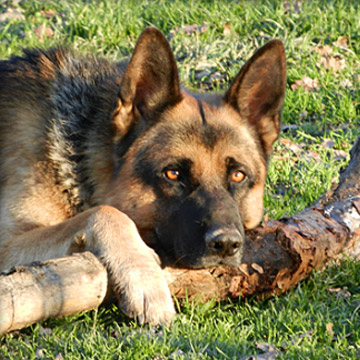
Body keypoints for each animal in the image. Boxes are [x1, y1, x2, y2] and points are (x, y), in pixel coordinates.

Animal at [0, 28, 286, 324]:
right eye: (173, 173)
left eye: (238, 175)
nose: (227, 244)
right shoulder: (7, 246)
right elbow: (107, 212)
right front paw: (145, 281)